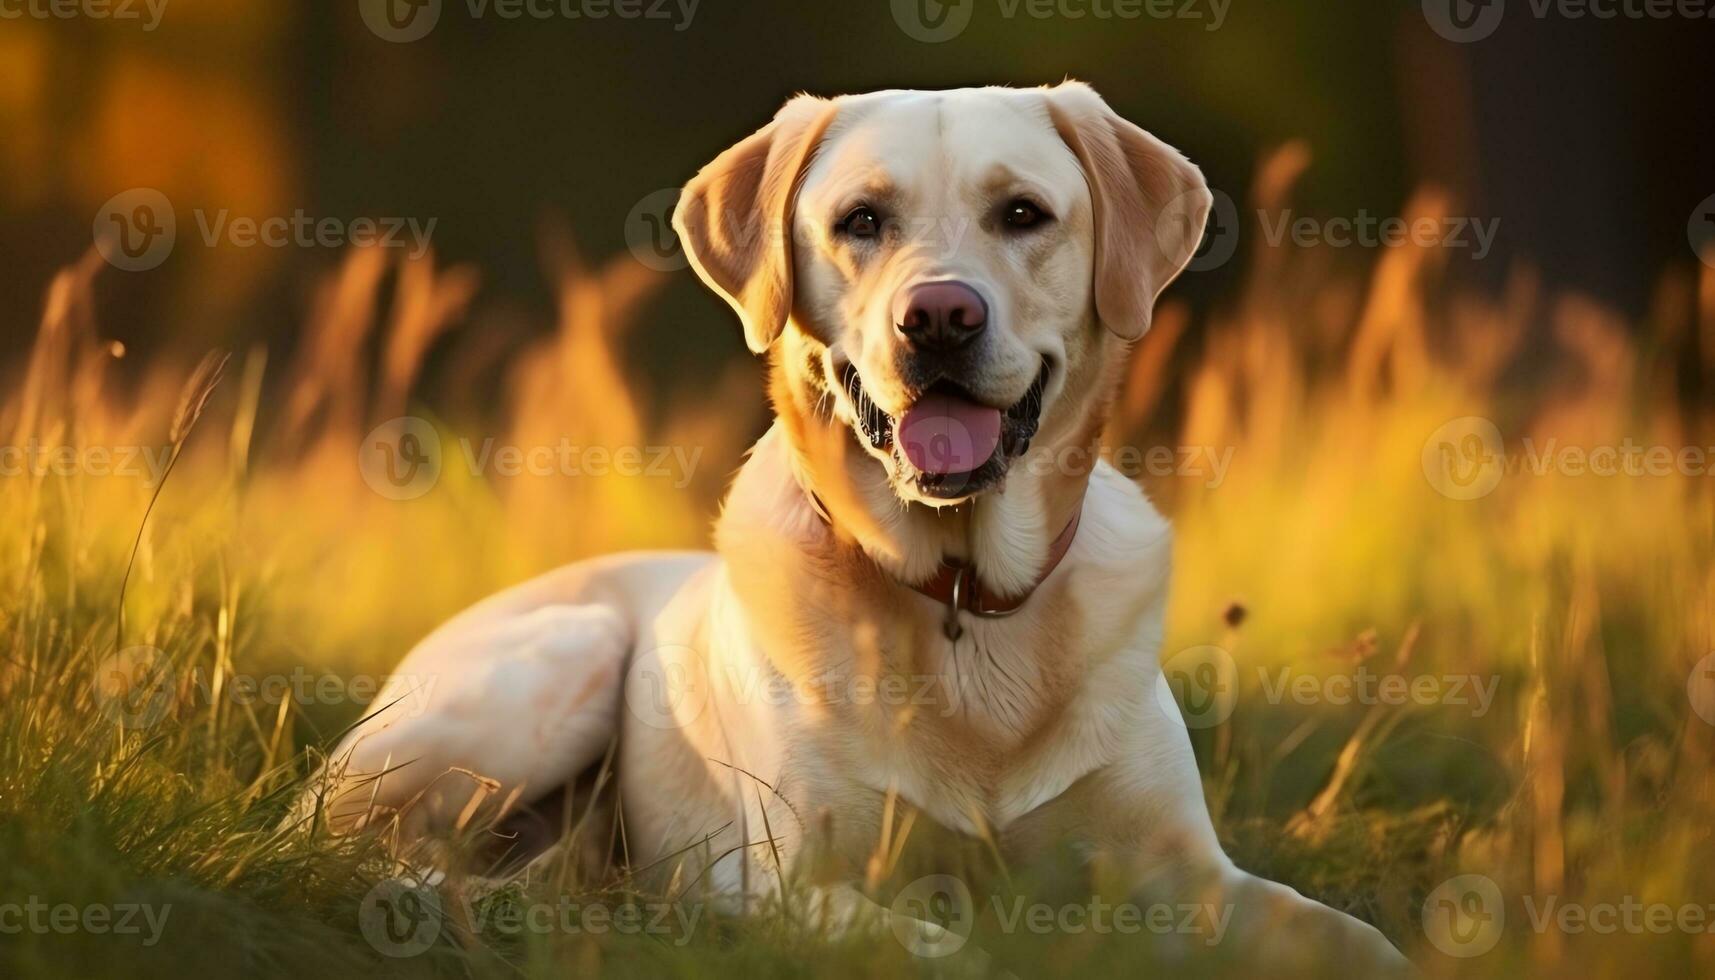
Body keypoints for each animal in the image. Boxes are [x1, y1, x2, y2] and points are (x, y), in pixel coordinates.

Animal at [315, 80, 1413, 967]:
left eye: (1023, 213)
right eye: (861, 219)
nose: (938, 317)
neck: (963, 590)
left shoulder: (1189, 874)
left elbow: (1353, 937)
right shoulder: (795, 883)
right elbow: (948, 950)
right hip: (559, 660)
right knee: (337, 840)